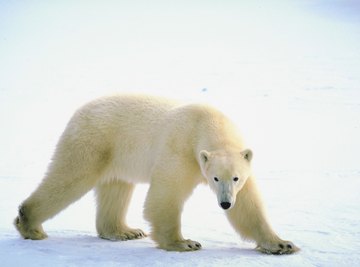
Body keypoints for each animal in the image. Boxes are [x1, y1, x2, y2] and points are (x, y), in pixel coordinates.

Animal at [14, 94, 298, 255]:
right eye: (215, 178)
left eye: (235, 178)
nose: (225, 203)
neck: (206, 123)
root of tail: (78, 111)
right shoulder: (181, 149)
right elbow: (166, 196)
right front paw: (184, 243)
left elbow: (249, 207)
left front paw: (282, 245)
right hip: (93, 142)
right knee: (69, 177)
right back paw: (30, 225)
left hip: (116, 155)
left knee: (116, 189)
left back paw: (125, 231)